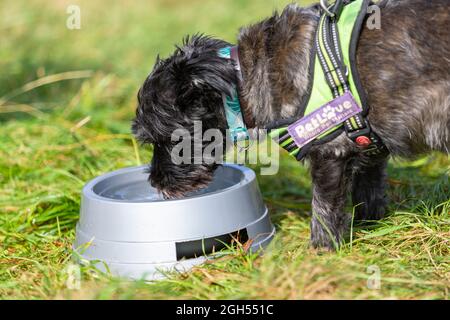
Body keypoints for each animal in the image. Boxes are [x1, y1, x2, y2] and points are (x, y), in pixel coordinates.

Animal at [132, 0, 448, 250]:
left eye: (169, 139)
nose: (155, 182)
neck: (247, 76)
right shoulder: (369, 151)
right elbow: (369, 194)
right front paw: (372, 230)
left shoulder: (330, 153)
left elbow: (323, 211)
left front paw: (322, 252)